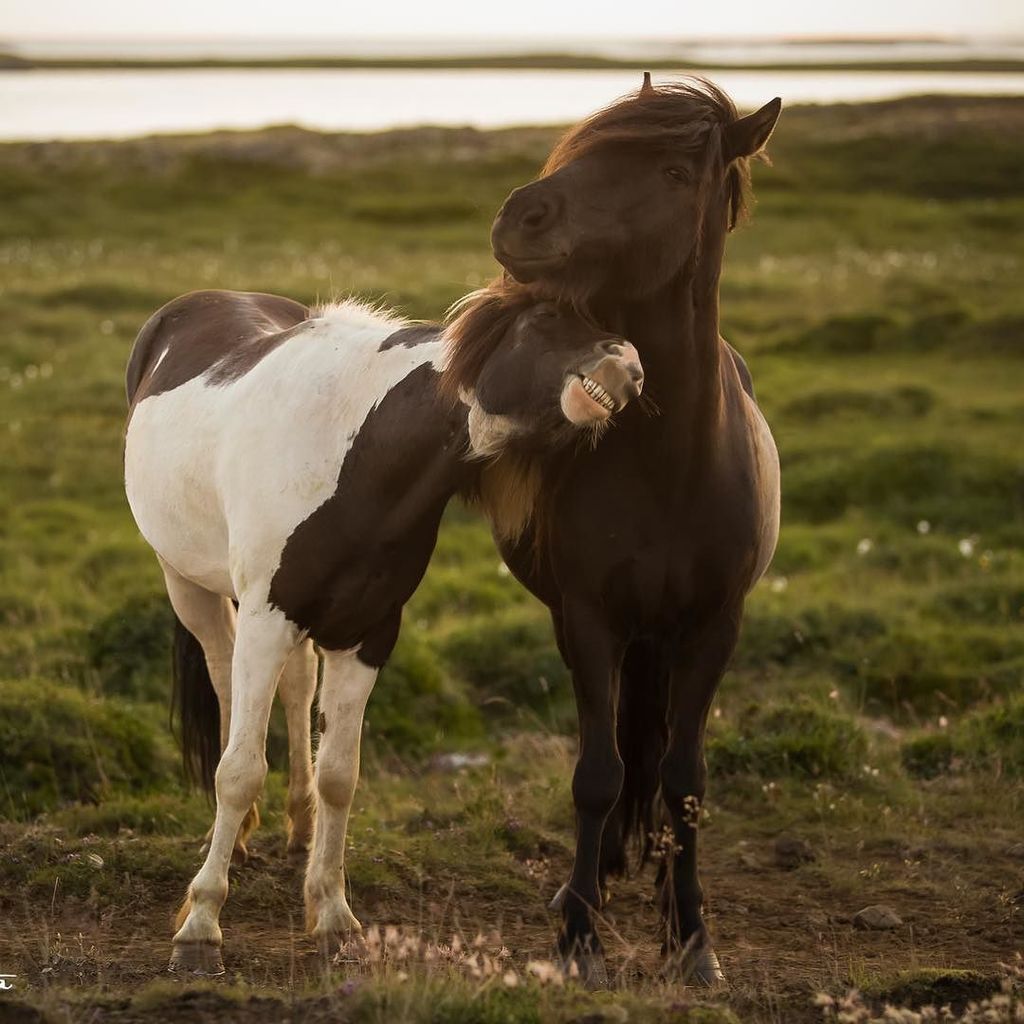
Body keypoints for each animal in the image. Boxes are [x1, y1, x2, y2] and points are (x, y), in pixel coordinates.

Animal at [123, 289, 644, 974]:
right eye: (543, 320)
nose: (630, 364)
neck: (358, 453)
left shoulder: (367, 634)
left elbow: (339, 774)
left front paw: (332, 915)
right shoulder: (266, 618)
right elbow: (238, 771)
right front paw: (201, 925)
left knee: (296, 686)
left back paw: (297, 827)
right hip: (188, 584)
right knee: (222, 673)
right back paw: (232, 841)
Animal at [441, 76, 782, 985]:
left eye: (672, 171)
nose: (519, 216)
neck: (671, 463)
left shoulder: (714, 627)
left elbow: (685, 778)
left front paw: (692, 939)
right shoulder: (590, 620)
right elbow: (599, 774)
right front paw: (580, 939)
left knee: (660, 757)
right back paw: (592, 881)